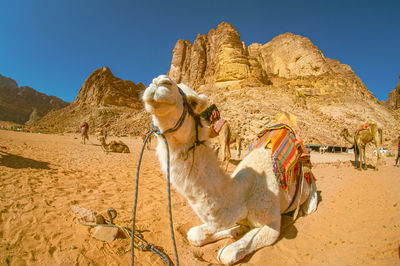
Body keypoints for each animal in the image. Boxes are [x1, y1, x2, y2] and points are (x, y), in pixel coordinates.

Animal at [142, 75, 318, 266]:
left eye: (194, 102)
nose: (160, 83)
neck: (242, 194)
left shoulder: (272, 224)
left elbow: (226, 254)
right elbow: (194, 235)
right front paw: (236, 230)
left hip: (308, 178)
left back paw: (307, 207)